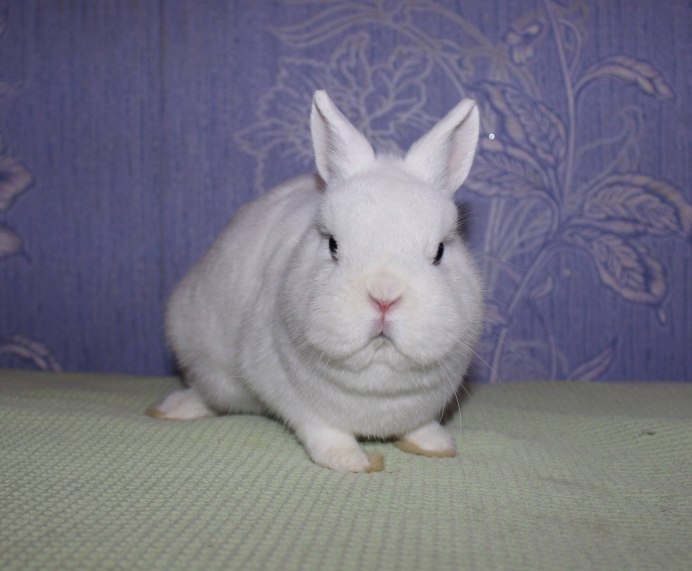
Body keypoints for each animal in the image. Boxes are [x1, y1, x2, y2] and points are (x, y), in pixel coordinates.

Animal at [147, 91, 484, 473]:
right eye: (333, 245)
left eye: (440, 251)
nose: (384, 295)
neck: (378, 378)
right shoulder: (296, 402)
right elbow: (325, 432)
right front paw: (352, 461)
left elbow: (420, 425)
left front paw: (437, 446)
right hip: (207, 362)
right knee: (205, 392)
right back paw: (172, 409)